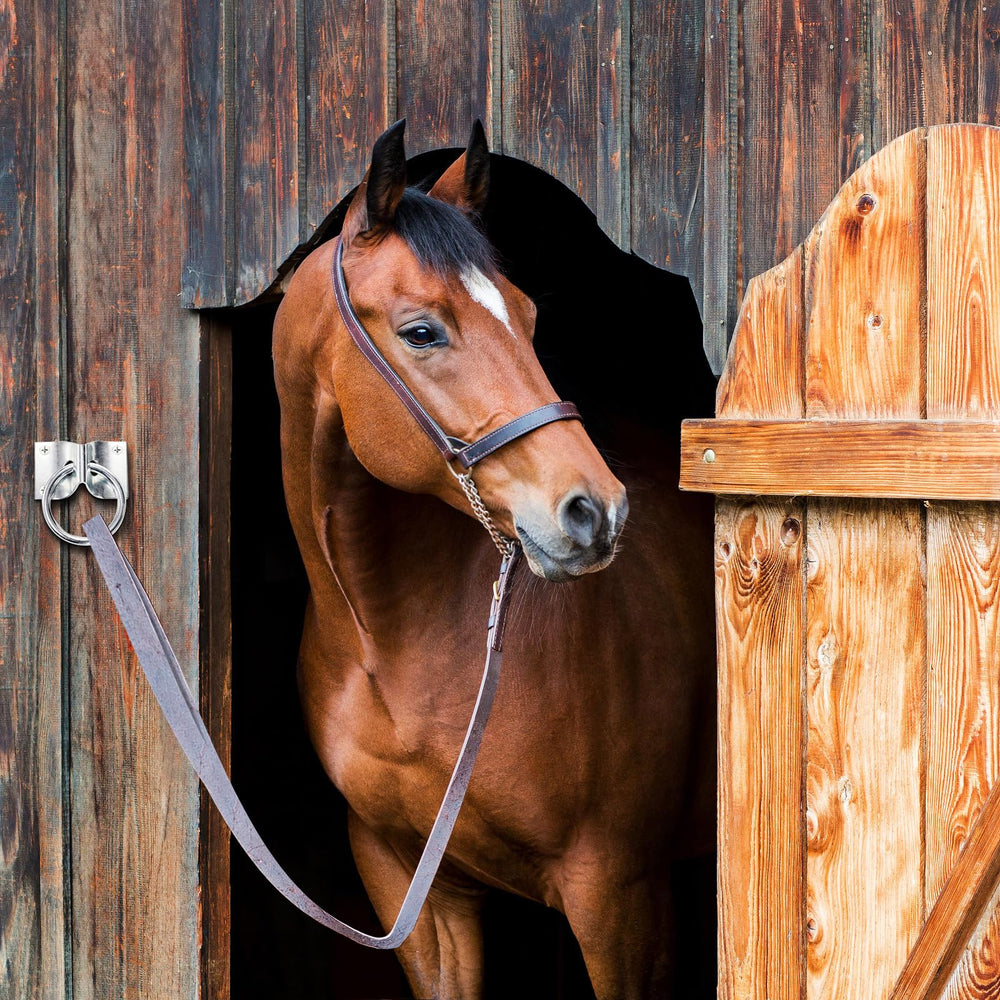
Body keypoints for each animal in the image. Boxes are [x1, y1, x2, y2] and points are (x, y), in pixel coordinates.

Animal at [272, 119, 716, 999]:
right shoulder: (412, 888)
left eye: (529, 315)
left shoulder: (618, 896)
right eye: (421, 331)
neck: (396, 641)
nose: (594, 511)